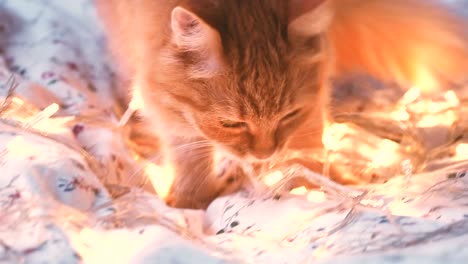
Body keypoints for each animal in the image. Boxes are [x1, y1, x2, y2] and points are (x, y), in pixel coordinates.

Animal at [95, 0, 468, 209]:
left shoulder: (310, 106)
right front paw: (192, 199)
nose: (265, 155)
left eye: (288, 114)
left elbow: (309, 147)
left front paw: (321, 183)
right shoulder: (167, 103)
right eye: (232, 123)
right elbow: (188, 150)